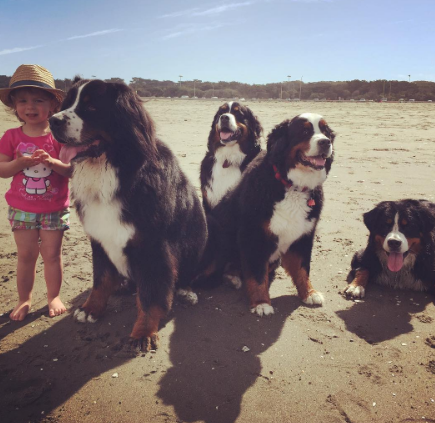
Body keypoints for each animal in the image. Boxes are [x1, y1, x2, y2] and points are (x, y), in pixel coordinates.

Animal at [49, 78, 208, 352]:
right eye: (67, 104)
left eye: (91, 107)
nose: (53, 120)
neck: (111, 170)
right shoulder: (99, 237)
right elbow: (101, 278)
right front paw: (91, 309)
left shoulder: (153, 246)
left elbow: (150, 295)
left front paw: (143, 332)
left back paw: (186, 291)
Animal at [204, 114, 338, 316]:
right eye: (305, 131)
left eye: (326, 131)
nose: (325, 142)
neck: (293, 186)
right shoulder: (254, 235)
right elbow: (257, 274)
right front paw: (261, 303)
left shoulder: (304, 235)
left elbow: (302, 268)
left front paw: (309, 293)